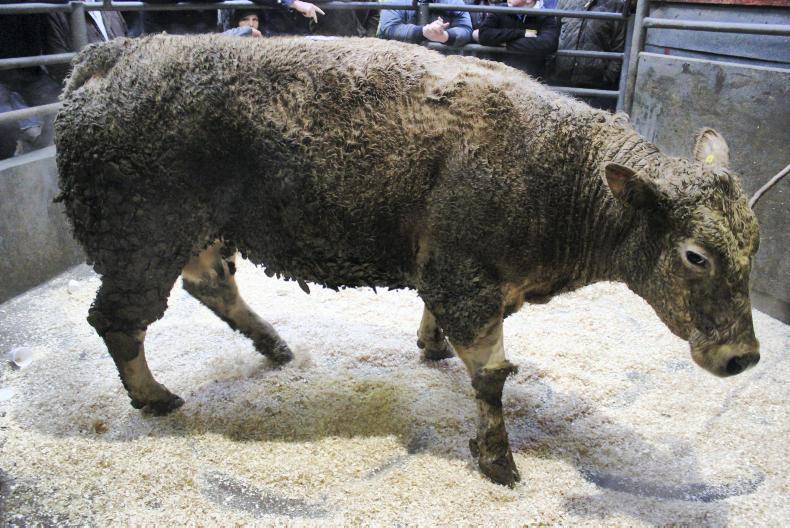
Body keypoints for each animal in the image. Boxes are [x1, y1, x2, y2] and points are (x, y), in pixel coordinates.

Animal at [55, 35, 760, 486]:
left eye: (754, 243)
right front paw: (498, 459)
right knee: (117, 320)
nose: (743, 357)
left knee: (211, 285)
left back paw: (273, 345)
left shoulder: (457, 272)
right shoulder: (465, 274)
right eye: (694, 255)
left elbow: (440, 322)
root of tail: (108, 56)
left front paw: (432, 346)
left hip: (197, 234)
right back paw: (154, 396)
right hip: (138, 238)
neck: (555, 170)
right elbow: (493, 376)